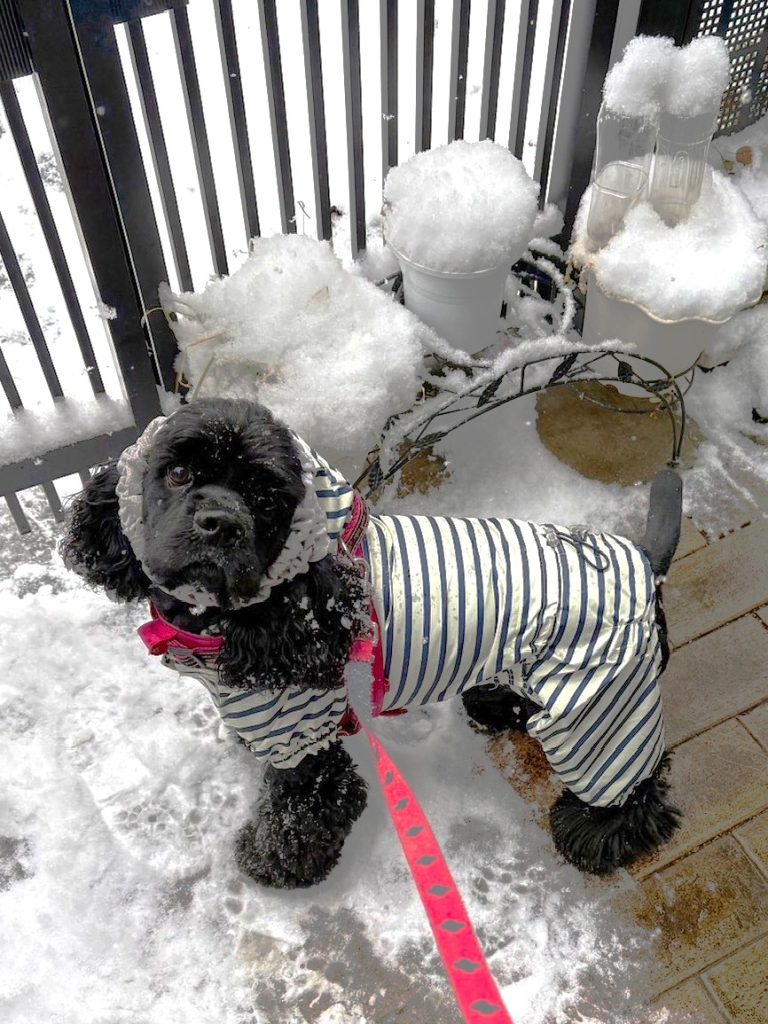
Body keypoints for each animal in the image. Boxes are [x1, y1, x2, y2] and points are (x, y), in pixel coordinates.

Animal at [62, 397, 682, 888]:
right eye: (179, 472)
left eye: (266, 501)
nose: (220, 524)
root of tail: (641, 559)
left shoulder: (301, 739)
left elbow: (303, 813)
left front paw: (272, 866)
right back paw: (495, 706)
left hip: (599, 705)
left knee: (633, 783)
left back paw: (594, 836)